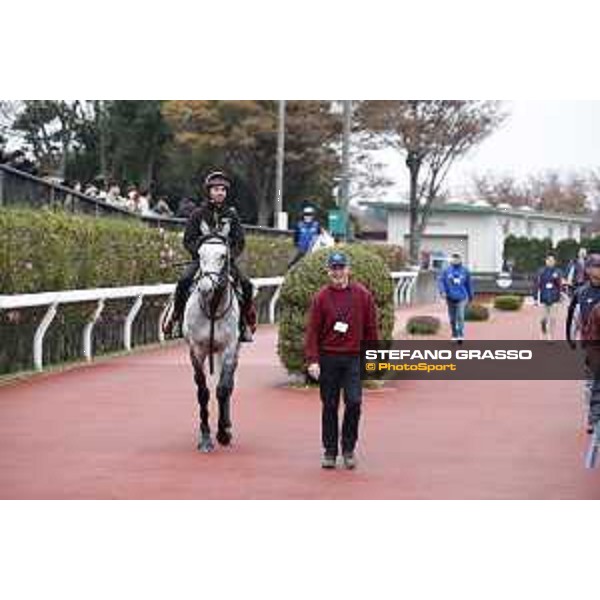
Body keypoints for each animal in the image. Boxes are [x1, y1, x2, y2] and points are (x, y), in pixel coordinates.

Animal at [183, 223, 241, 452]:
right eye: (200, 254)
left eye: (223, 255)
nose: (205, 288)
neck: (213, 308)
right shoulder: (196, 350)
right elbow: (203, 391)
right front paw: (206, 437)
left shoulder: (229, 348)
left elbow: (223, 389)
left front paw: (222, 433)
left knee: (229, 384)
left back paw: (228, 426)